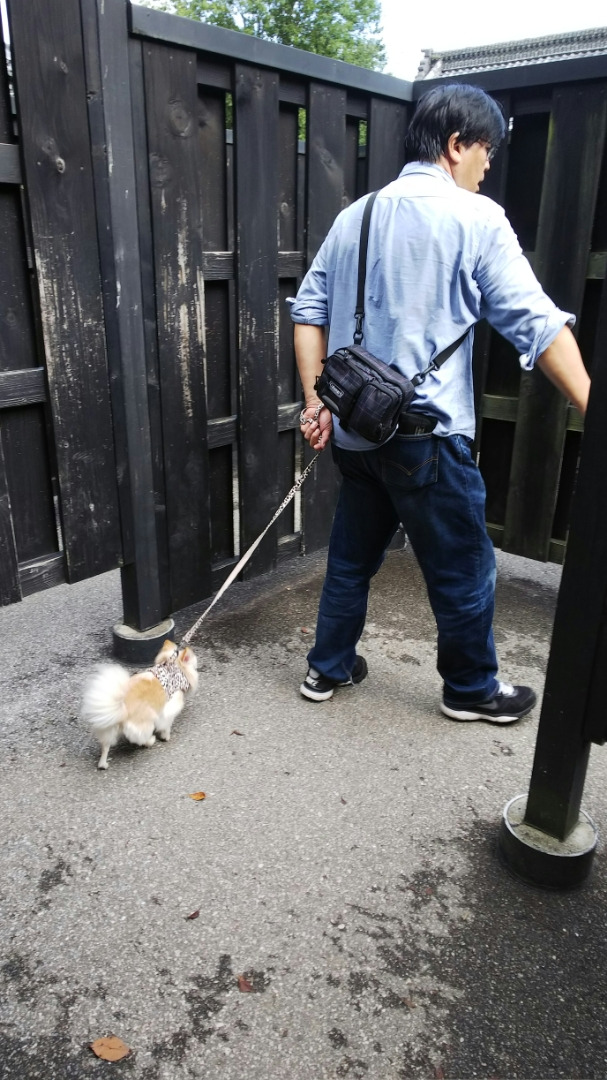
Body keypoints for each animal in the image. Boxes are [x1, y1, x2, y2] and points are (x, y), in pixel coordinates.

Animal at [80, 639, 197, 768]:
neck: (172, 667)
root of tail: (122, 709)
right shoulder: (170, 707)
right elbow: (166, 725)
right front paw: (165, 737)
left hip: (108, 729)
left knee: (105, 747)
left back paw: (103, 764)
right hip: (147, 722)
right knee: (142, 739)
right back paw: (151, 740)